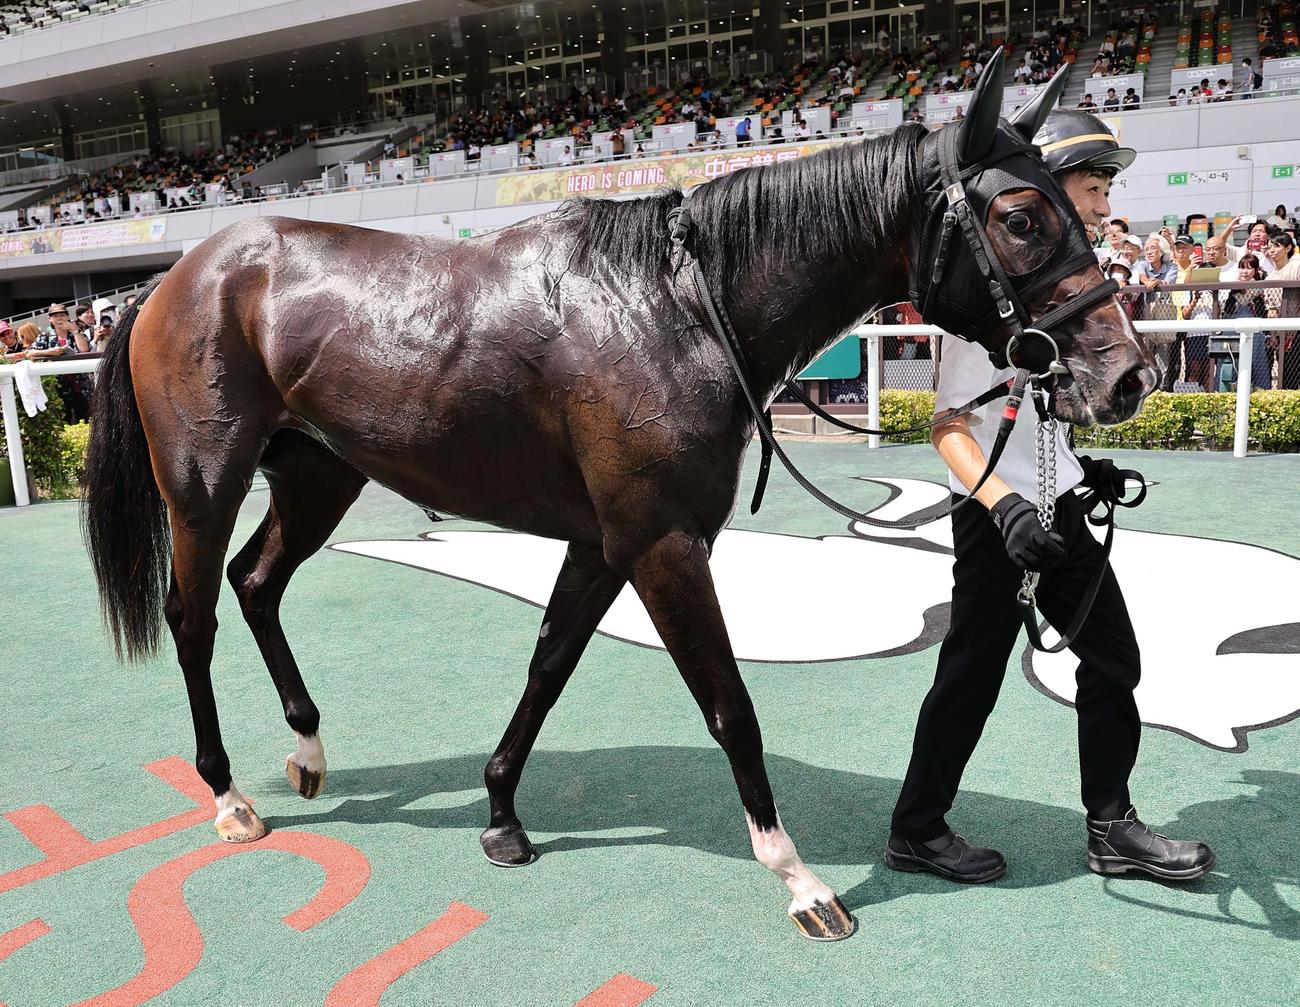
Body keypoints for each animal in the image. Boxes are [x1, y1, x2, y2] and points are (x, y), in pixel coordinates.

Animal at [83, 54, 1158, 941]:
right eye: (1021, 217)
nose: (1125, 377)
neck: (676, 307)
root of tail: (170, 276)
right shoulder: (663, 543)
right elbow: (729, 704)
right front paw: (800, 878)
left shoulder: (603, 541)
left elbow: (549, 664)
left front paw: (501, 815)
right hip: (203, 479)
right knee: (192, 612)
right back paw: (226, 793)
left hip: (321, 471)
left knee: (257, 581)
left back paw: (307, 749)